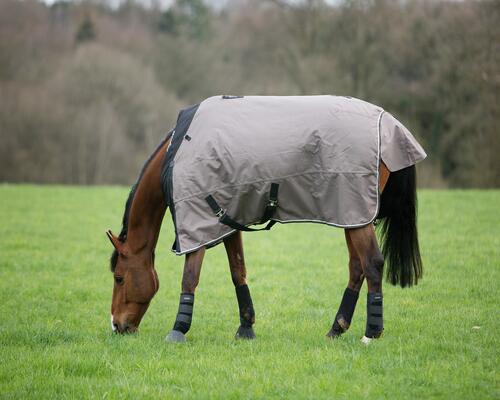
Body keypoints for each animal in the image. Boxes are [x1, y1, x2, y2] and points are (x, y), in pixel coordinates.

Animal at [107, 94, 424, 344]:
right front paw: (246, 327)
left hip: (356, 213)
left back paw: (371, 333)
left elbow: (189, 277)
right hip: (352, 216)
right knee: (357, 268)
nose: (117, 325)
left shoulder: (197, 223)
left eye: (119, 277)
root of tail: (389, 123)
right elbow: (238, 271)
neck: (178, 156)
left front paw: (178, 329)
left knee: (372, 264)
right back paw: (336, 329)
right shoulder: (224, 222)